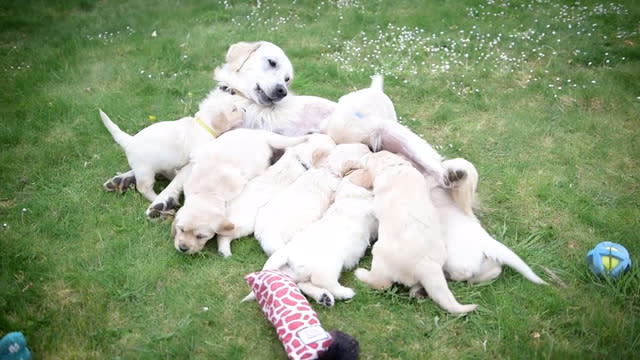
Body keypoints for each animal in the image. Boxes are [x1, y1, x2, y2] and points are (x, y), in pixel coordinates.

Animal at [242, 169, 378, 306]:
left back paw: (324, 297)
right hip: (328, 266)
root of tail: (286, 253)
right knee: (323, 282)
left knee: (302, 284)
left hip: (292, 273)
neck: (349, 196)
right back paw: (344, 293)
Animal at [352, 150, 478, 314]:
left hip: (380, 257)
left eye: (371, 157)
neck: (395, 167)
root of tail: (427, 266)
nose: (366, 154)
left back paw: (361, 274)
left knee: (381, 283)